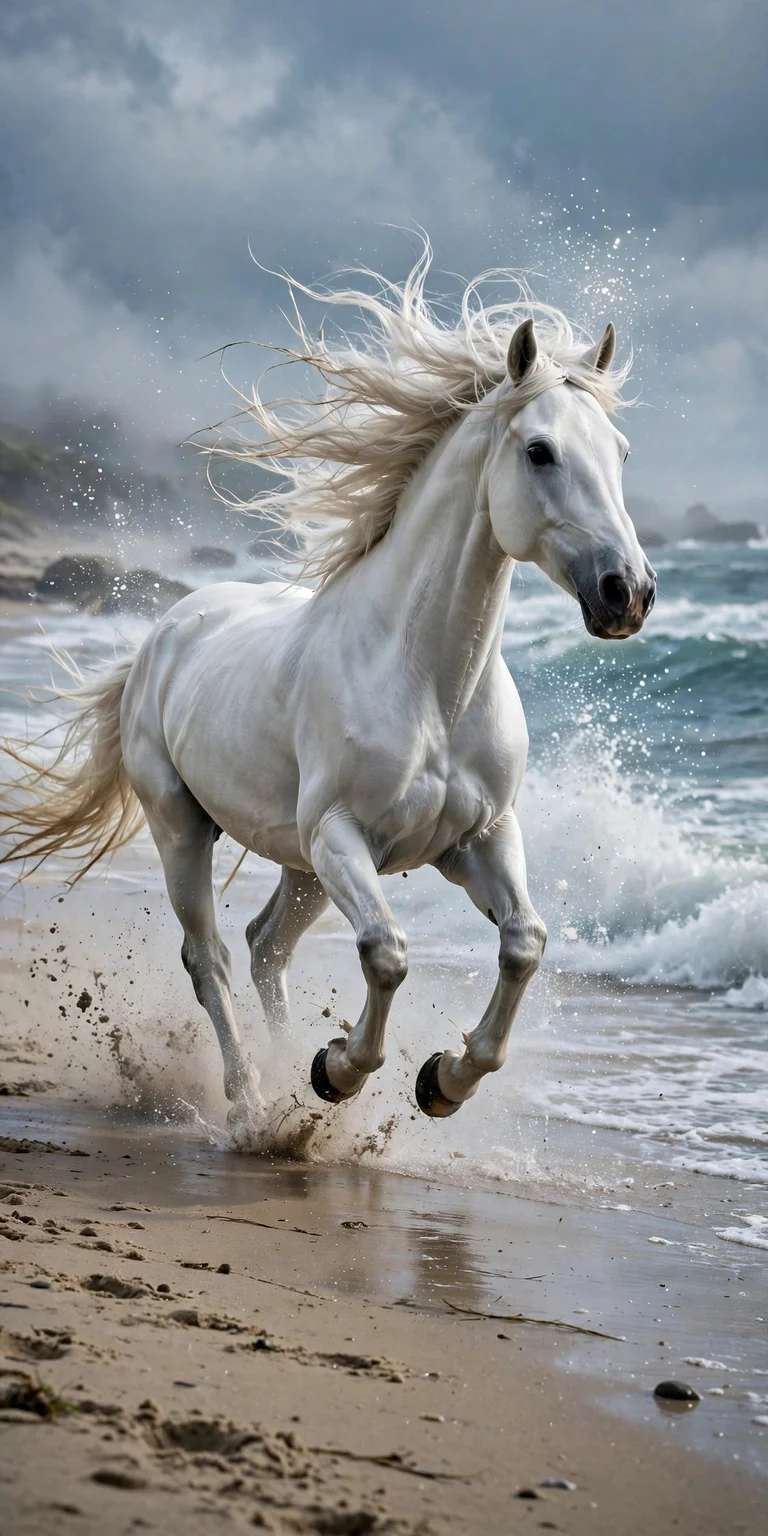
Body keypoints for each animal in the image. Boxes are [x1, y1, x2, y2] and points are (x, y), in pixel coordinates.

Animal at [1, 252, 655, 1127]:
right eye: (541, 451)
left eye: (620, 452)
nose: (628, 593)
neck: (427, 683)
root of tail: (163, 635)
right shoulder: (342, 836)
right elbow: (388, 953)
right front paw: (338, 1069)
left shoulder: (479, 837)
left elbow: (525, 943)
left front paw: (442, 1080)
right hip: (188, 829)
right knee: (210, 957)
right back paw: (253, 1104)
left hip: (300, 864)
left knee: (264, 946)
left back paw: (285, 1091)